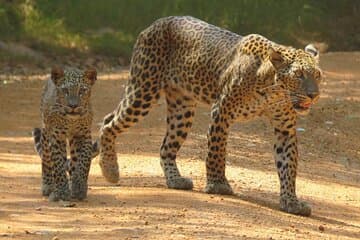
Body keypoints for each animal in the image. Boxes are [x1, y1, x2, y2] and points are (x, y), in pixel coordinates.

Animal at [33, 66, 97, 202]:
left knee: (73, 161)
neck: (71, 120)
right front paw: (62, 192)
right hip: (46, 133)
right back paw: (48, 186)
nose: (73, 106)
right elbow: (58, 165)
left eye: (82, 91)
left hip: (72, 140)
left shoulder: (84, 135)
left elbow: (83, 162)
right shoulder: (56, 137)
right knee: (47, 160)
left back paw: (73, 184)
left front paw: (79, 187)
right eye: (65, 91)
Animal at [97, 16, 320, 216]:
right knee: (108, 123)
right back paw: (110, 169)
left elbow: (288, 165)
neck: (271, 89)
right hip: (143, 90)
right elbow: (217, 151)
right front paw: (218, 184)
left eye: (317, 75)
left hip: (182, 109)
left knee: (165, 147)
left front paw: (291, 201)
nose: (314, 95)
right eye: (299, 75)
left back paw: (175, 180)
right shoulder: (221, 111)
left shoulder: (285, 128)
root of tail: (154, 23)